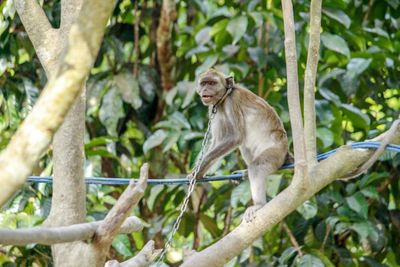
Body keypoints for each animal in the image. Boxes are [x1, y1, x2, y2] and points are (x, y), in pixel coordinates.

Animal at [191, 68, 288, 222]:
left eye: (212, 83)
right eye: (203, 83)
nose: (205, 89)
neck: (224, 98)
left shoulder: (232, 101)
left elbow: (236, 137)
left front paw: (198, 171)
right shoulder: (214, 108)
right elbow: (217, 140)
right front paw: (200, 171)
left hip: (277, 152)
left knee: (257, 166)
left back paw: (259, 204)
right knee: (246, 148)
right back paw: (246, 172)